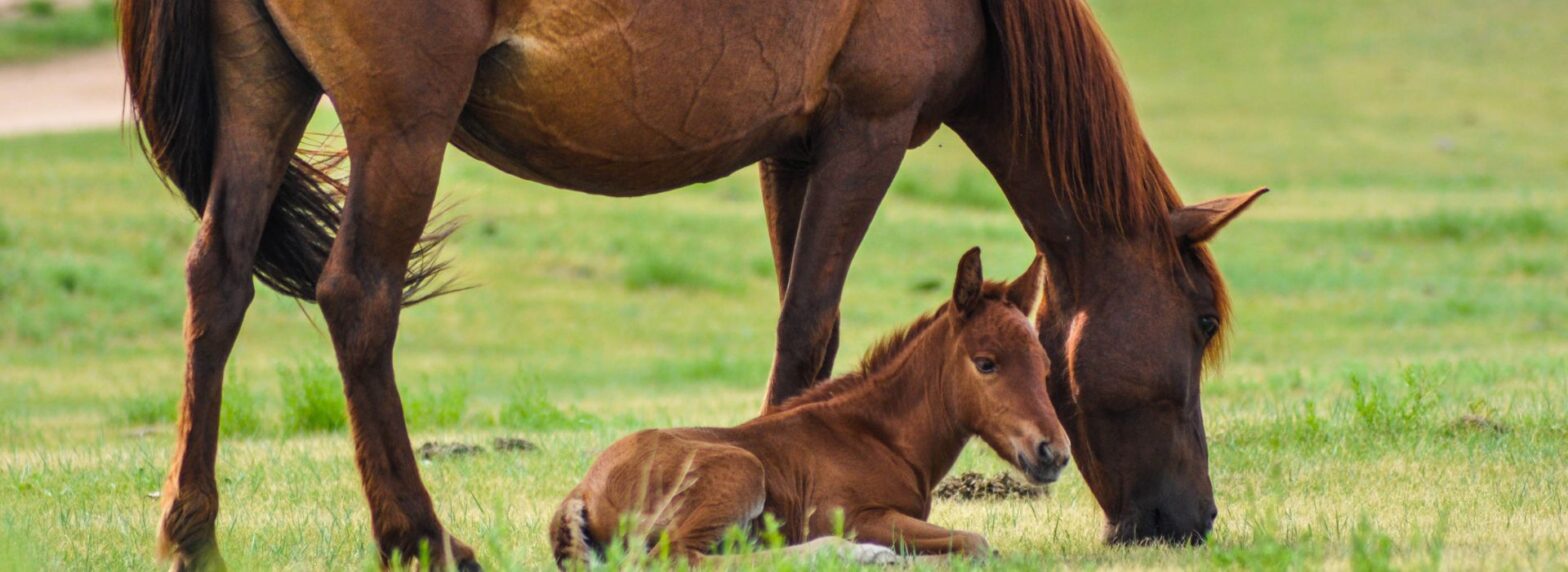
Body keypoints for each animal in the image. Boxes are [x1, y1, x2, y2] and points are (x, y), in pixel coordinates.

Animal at [545, 247, 1072, 564]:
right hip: (740, 472)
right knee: (684, 558)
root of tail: (582, 490)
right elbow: (976, 543)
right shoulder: (855, 515)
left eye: (1045, 363)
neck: (879, 437)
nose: (1054, 453)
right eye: (986, 363)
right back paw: (851, 554)